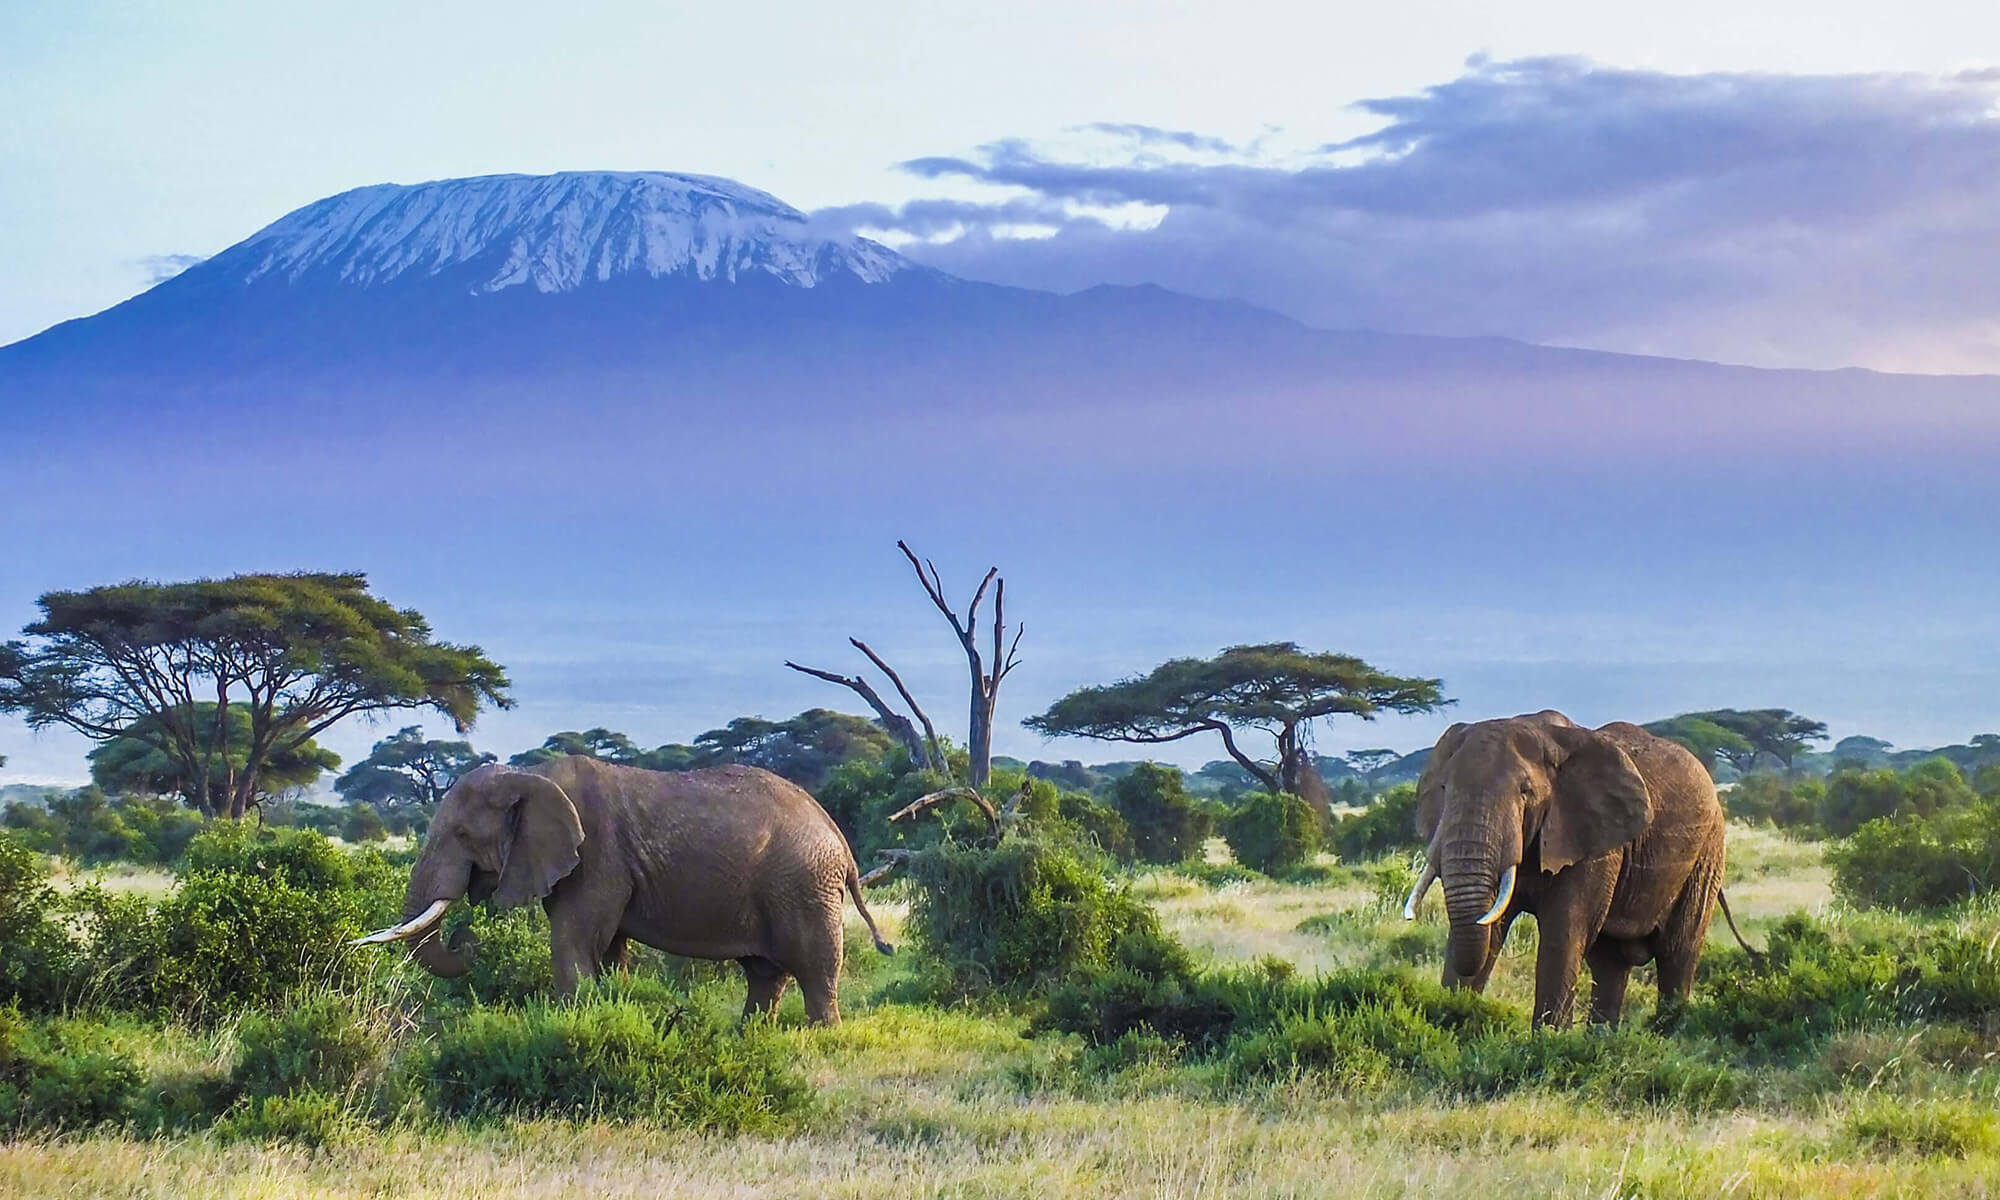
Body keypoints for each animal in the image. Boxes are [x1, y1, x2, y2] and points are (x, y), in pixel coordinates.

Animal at [352, 760, 892, 1020]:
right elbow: (607, 948)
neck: (532, 776)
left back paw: (821, 1036)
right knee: (764, 973)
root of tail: (841, 840)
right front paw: (611, 1006)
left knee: (814, 968)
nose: (468, 939)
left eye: (463, 835)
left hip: (803, 884)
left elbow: (574, 941)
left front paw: (573, 1021)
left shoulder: (597, 856)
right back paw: (751, 1035)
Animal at [1408, 712, 1736, 1032]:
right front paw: (1450, 1021)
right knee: (1610, 961)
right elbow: (1492, 925)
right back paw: (1602, 1040)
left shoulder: (1592, 841)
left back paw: (1665, 1036)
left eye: (1525, 792)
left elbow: (1564, 931)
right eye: (1444, 789)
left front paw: (1548, 1040)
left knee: (1677, 952)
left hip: (1707, 854)